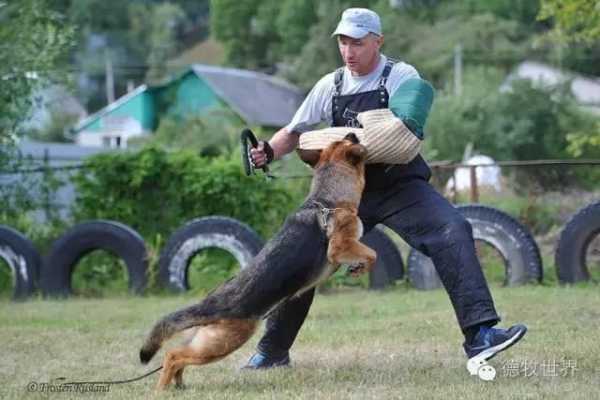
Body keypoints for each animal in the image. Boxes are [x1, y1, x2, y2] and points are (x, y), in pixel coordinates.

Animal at [138, 133, 378, 390]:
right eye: (346, 140)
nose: (353, 133)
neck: (328, 199)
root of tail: (210, 303)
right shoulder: (340, 247)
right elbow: (372, 253)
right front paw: (360, 267)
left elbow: (368, 253)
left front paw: (357, 267)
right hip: (223, 343)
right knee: (172, 356)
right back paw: (161, 390)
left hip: (208, 342)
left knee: (180, 356)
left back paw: (179, 384)